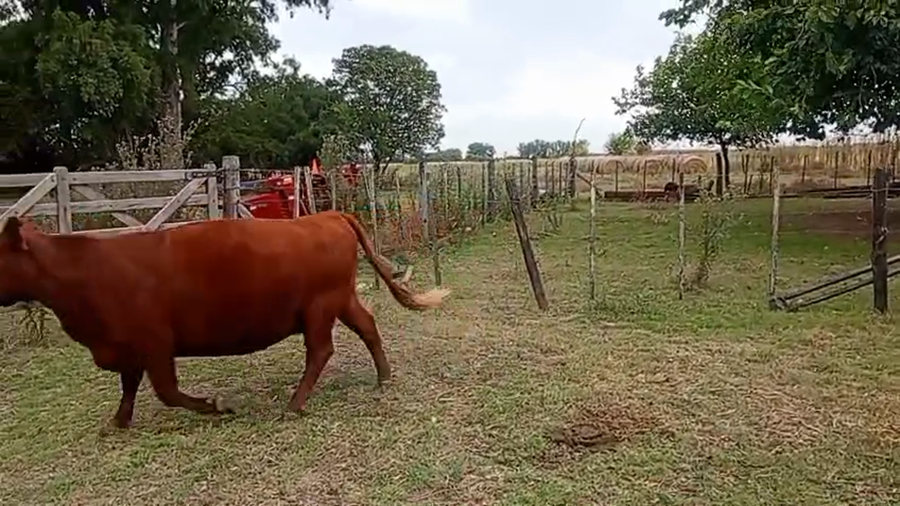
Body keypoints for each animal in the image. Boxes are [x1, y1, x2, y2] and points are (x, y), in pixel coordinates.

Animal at [0, 210, 450, 428]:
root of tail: (326, 215)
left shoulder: (155, 342)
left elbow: (167, 391)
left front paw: (218, 406)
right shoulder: (128, 346)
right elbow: (129, 387)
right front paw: (118, 421)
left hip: (320, 307)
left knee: (321, 351)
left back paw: (294, 405)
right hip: (341, 299)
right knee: (368, 327)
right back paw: (383, 377)